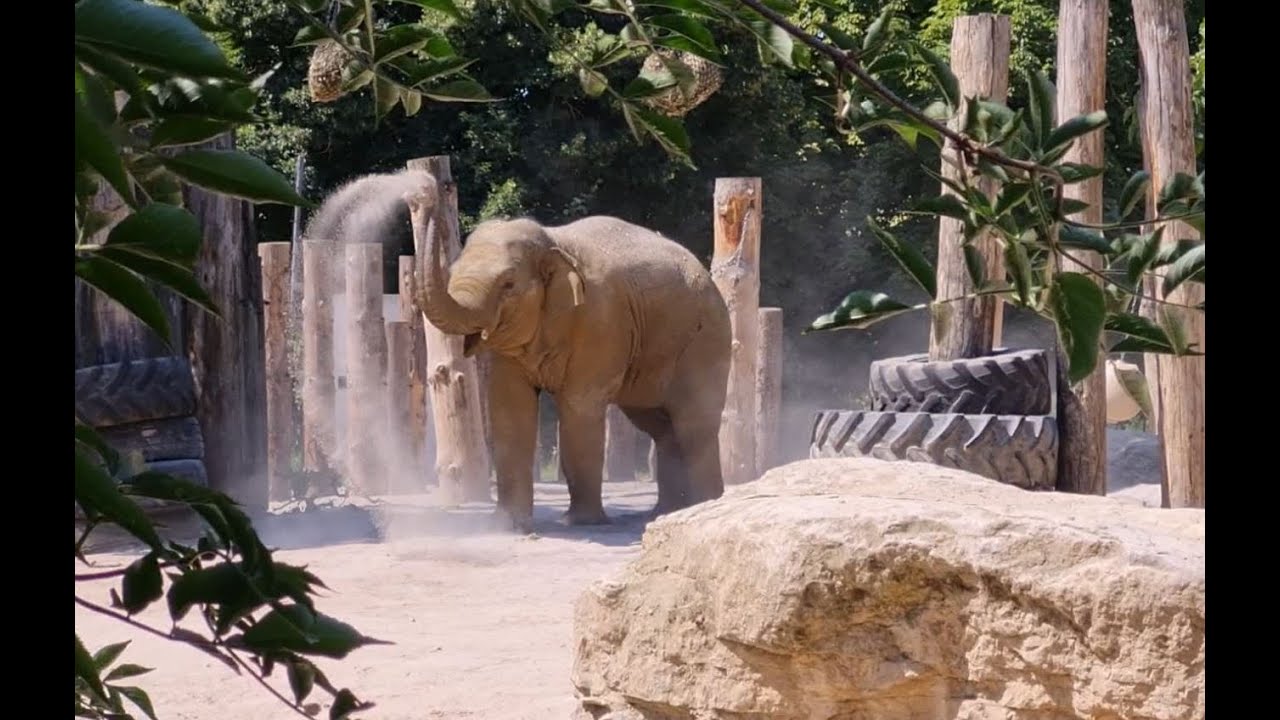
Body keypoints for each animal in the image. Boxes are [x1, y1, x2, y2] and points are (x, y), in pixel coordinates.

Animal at [407, 187, 732, 531]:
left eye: (508, 284)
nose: (424, 195)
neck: (553, 241)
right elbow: (509, 408)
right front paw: (508, 524)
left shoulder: (602, 320)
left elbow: (579, 407)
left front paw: (577, 523)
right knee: (659, 426)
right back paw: (665, 511)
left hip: (705, 340)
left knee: (694, 424)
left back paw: (705, 504)